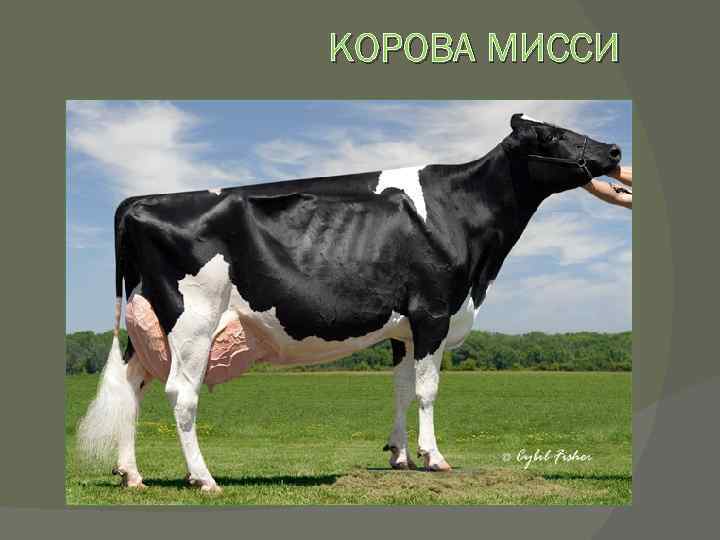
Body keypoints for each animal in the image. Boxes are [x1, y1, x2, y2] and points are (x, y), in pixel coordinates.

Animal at [77, 113, 622, 493]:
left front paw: (399, 456)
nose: (615, 150)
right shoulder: (433, 312)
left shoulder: (404, 327)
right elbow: (428, 391)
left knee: (133, 387)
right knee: (180, 394)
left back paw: (131, 474)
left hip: (149, 323)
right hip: (193, 318)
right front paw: (434, 457)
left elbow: (401, 389)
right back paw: (203, 478)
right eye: (550, 134)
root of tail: (140, 201)